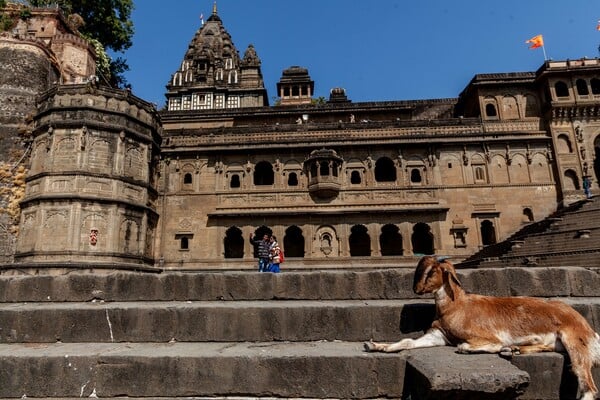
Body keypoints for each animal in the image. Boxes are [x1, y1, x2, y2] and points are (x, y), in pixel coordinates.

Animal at [364, 256, 600, 400]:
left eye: (432, 271)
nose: (416, 289)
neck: (457, 306)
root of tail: (589, 329)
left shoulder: (488, 337)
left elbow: (475, 346)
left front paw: (475, 349)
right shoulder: (437, 336)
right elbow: (408, 341)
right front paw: (375, 346)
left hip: (574, 342)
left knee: (589, 386)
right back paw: (514, 350)